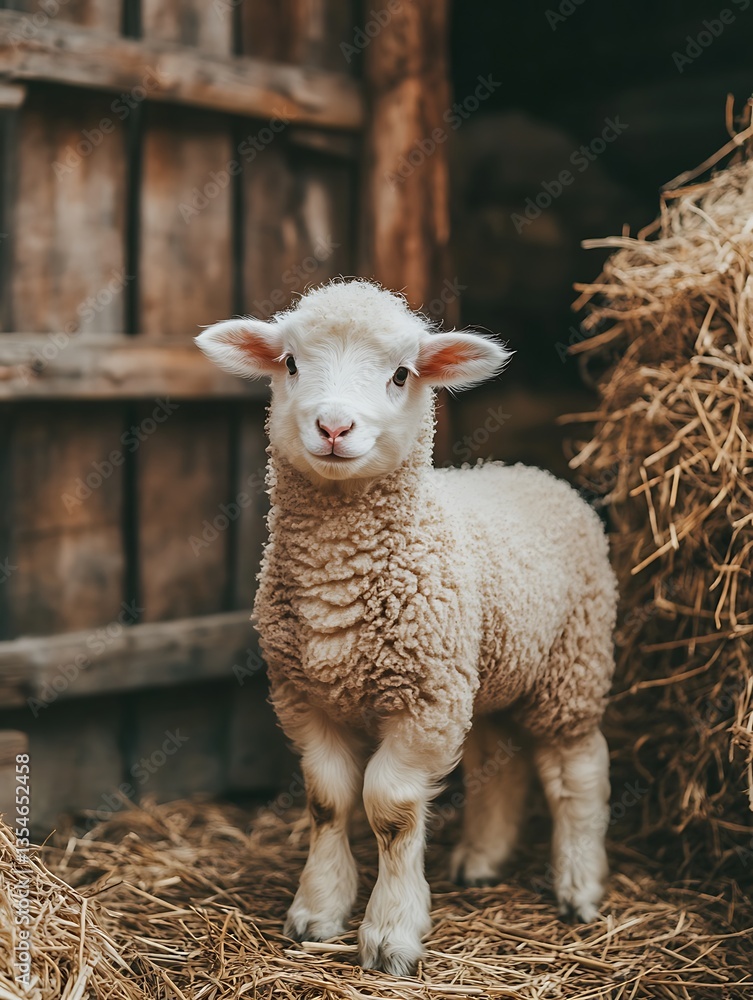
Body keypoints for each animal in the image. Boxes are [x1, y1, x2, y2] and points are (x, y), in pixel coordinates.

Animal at [196, 279, 618, 977]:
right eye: (290, 363)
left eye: (400, 374)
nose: (334, 426)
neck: (341, 574)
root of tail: (531, 471)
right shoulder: (304, 696)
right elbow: (328, 799)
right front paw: (317, 913)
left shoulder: (425, 701)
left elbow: (389, 808)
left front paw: (390, 935)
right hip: (487, 673)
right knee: (497, 761)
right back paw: (482, 861)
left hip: (570, 666)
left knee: (576, 771)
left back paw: (580, 886)